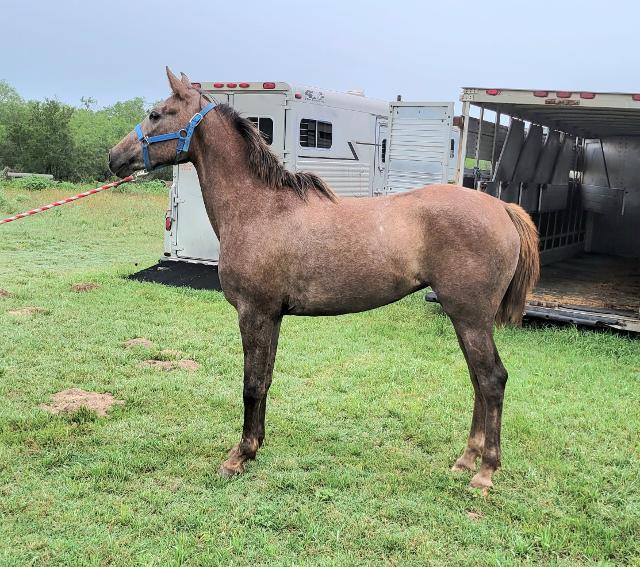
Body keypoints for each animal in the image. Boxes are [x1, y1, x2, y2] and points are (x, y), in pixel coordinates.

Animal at [109, 68, 539, 492]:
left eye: (156, 114)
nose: (115, 157)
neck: (259, 209)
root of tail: (501, 208)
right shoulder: (272, 316)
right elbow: (265, 380)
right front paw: (255, 447)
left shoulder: (254, 313)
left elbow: (251, 383)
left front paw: (238, 456)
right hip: (466, 319)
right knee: (478, 381)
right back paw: (466, 460)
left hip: (470, 317)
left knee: (492, 380)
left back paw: (485, 471)